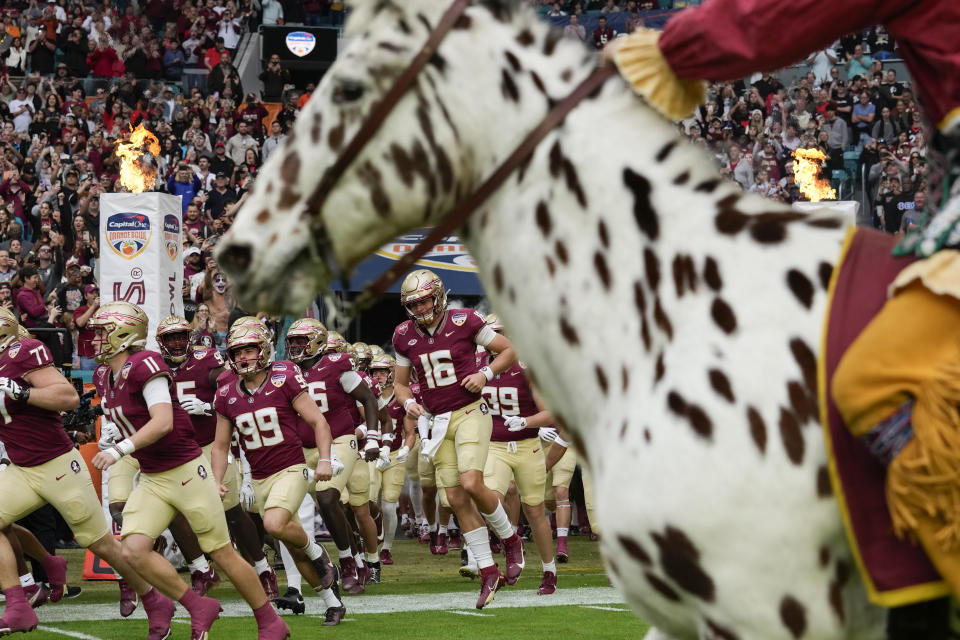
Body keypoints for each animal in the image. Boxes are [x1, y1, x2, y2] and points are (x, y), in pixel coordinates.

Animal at [214, 1, 888, 640]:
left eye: (351, 89)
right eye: (414, 317)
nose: (246, 251)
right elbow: (403, 396)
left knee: (500, 498)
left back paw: (506, 559)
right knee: (459, 490)